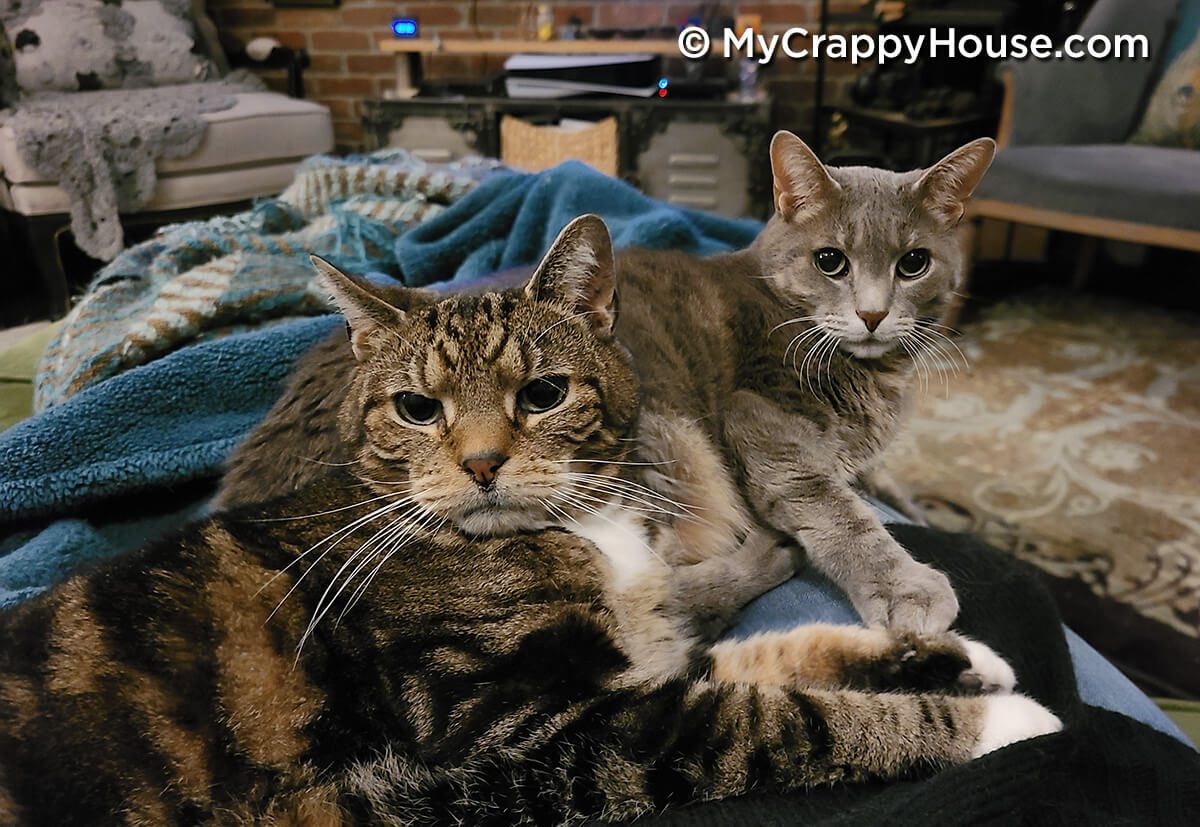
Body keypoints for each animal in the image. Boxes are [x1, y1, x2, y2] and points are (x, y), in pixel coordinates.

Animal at [0, 216, 1060, 820]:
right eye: (416, 407)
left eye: (544, 393)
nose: (480, 464)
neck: (586, 525)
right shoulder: (545, 733)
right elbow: (790, 716)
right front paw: (1002, 717)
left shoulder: (641, 660)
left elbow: (782, 653)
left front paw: (961, 657)